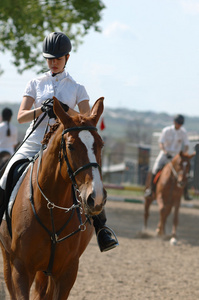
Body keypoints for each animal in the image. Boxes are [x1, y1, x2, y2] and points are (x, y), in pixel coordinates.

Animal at [0, 97, 106, 298]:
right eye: (70, 146)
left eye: (101, 145)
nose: (95, 198)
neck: (51, 207)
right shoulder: (21, 268)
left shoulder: (67, 273)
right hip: (8, 256)